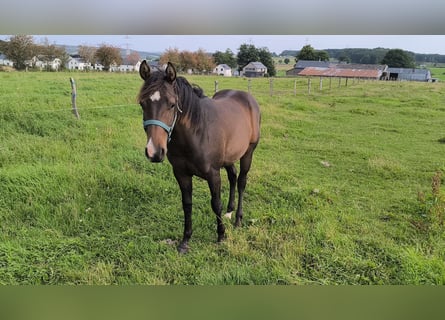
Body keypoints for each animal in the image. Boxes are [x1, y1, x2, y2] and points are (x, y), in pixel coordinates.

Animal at [137, 61, 258, 254]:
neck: (196, 132)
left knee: (241, 182)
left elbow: (216, 203)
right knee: (233, 176)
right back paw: (229, 212)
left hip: (248, 153)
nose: (154, 152)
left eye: (172, 104)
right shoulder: (181, 174)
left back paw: (238, 219)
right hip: (228, 157)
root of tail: (248, 98)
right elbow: (187, 204)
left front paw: (221, 236)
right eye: (142, 103)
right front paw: (185, 240)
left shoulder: (213, 174)